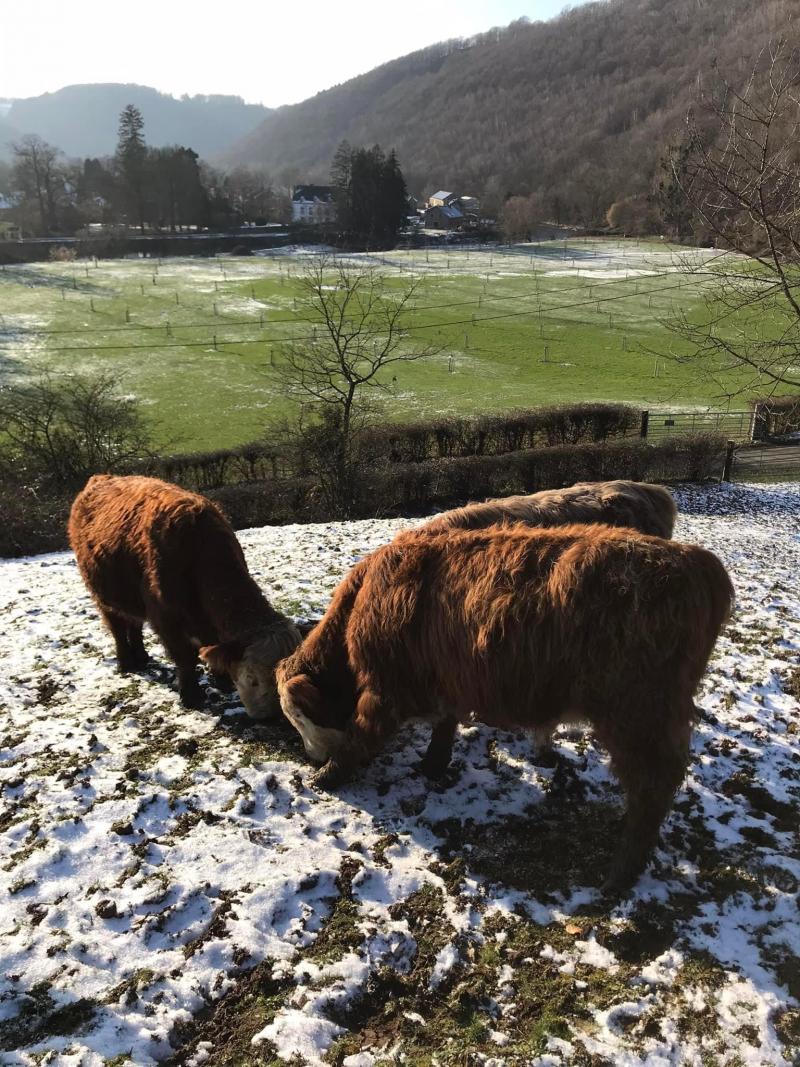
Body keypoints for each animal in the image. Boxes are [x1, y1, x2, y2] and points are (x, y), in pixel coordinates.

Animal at [67, 475, 300, 717]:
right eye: (252, 679)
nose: (271, 716)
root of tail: (101, 478)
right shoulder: (165, 618)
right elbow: (185, 657)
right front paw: (191, 696)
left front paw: (221, 679)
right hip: (102, 596)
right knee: (117, 629)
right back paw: (126, 662)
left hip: (131, 598)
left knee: (134, 624)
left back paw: (141, 657)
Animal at [279, 520, 738, 887]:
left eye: (301, 718)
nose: (309, 756)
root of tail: (696, 562)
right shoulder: (446, 681)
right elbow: (444, 725)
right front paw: (432, 766)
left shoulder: (383, 689)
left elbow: (361, 734)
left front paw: (328, 776)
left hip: (638, 715)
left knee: (651, 788)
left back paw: (619, 876)